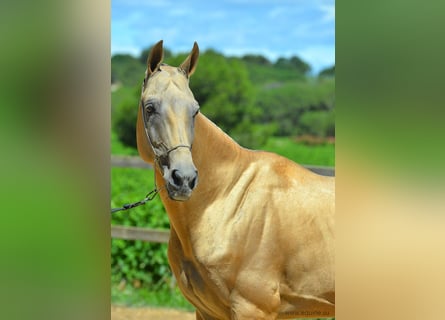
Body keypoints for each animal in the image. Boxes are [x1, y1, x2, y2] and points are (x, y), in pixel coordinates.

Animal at [135, 40, 332, 320]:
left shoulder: (252, 309)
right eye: (150, 107)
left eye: (195, 110)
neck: (226, 200)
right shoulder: (207, 312)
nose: (184, 178)